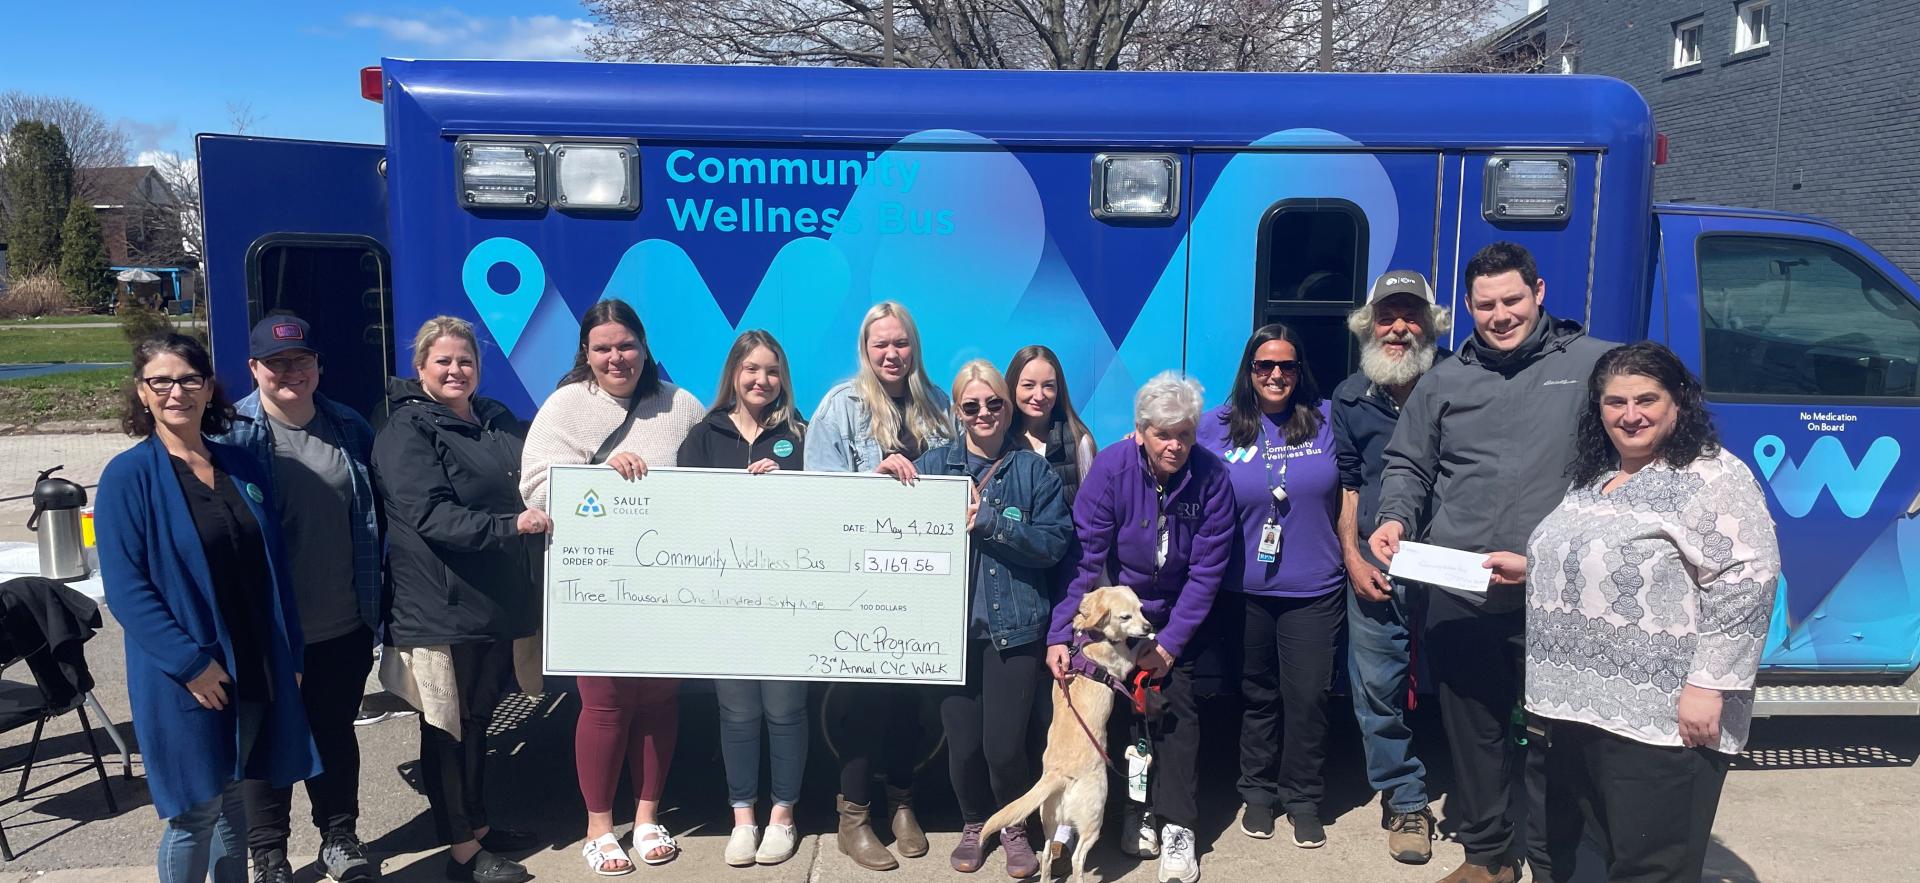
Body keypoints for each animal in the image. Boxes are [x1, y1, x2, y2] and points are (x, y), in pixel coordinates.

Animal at [983, 587, 1144, 883]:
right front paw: (1149, 642)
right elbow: (1133, 651)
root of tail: (1058, 775)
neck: (1089, 635)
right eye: (1125, 616)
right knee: (1078, 859)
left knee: (1046, 854)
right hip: (1093, 819)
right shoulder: (1124, 663)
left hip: (1049, 819)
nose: (1149, 626)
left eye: (1141, 608)